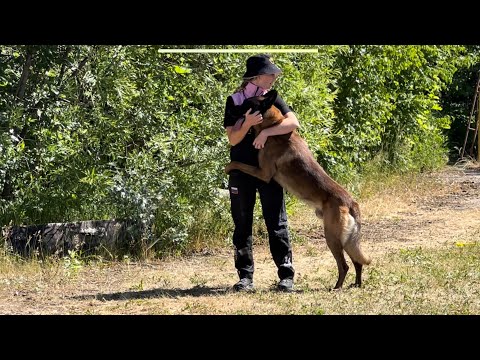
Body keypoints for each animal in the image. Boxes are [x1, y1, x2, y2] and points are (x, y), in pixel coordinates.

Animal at [224, 90, 372, 290]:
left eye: (246, 104)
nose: (229, 106)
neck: (272, 126)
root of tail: (351, 202)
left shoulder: (263, 173)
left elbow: (237, 163)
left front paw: (227, 167)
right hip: (346, 239)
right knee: (357, 261)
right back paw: (356, 284)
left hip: (332, 237)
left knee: (344, 265)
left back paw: (337, 287)